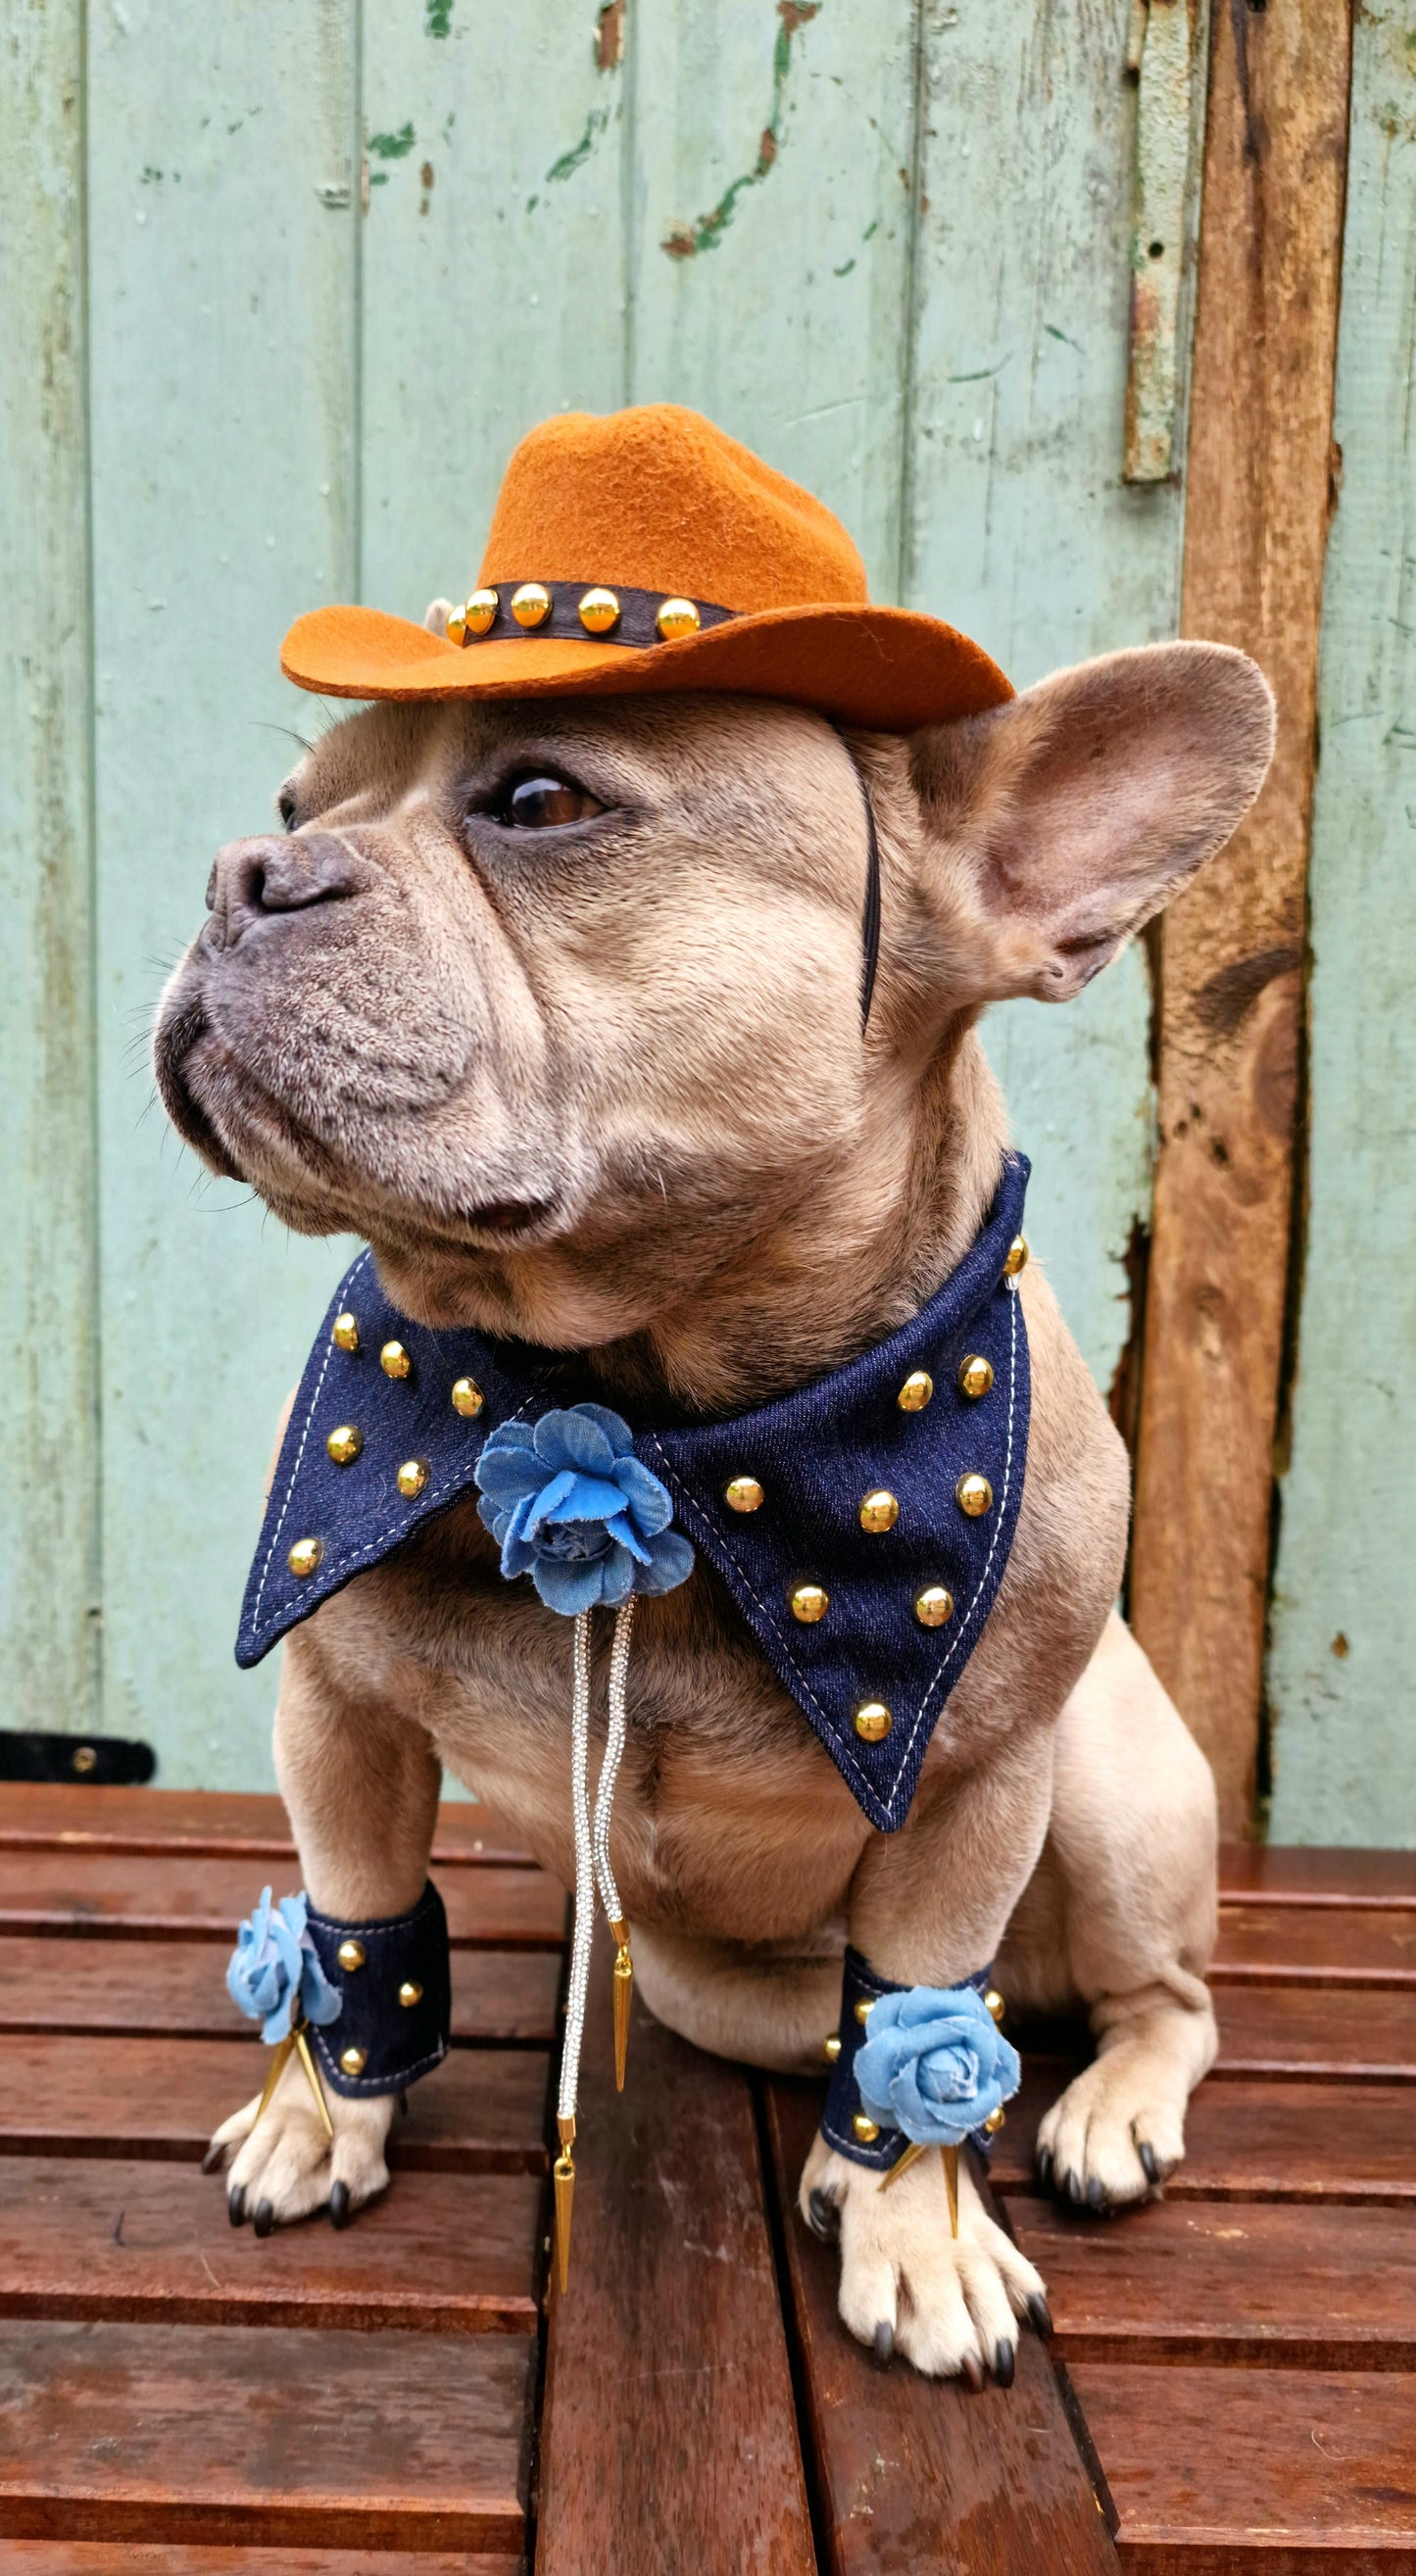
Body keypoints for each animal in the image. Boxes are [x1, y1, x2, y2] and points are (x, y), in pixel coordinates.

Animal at [152, 402, 1277, 2369]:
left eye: (542, 803)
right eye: (298, 811)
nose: (243, 873)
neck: (644, 1409)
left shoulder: (976, 1788)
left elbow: (926, 2015)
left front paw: (924, 2233)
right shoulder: (337, 1718)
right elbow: (358, 1916)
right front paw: (316, 2113)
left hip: (1117, 1787)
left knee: (1143, 2000)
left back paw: (1095, 2108)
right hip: (709, 1974)